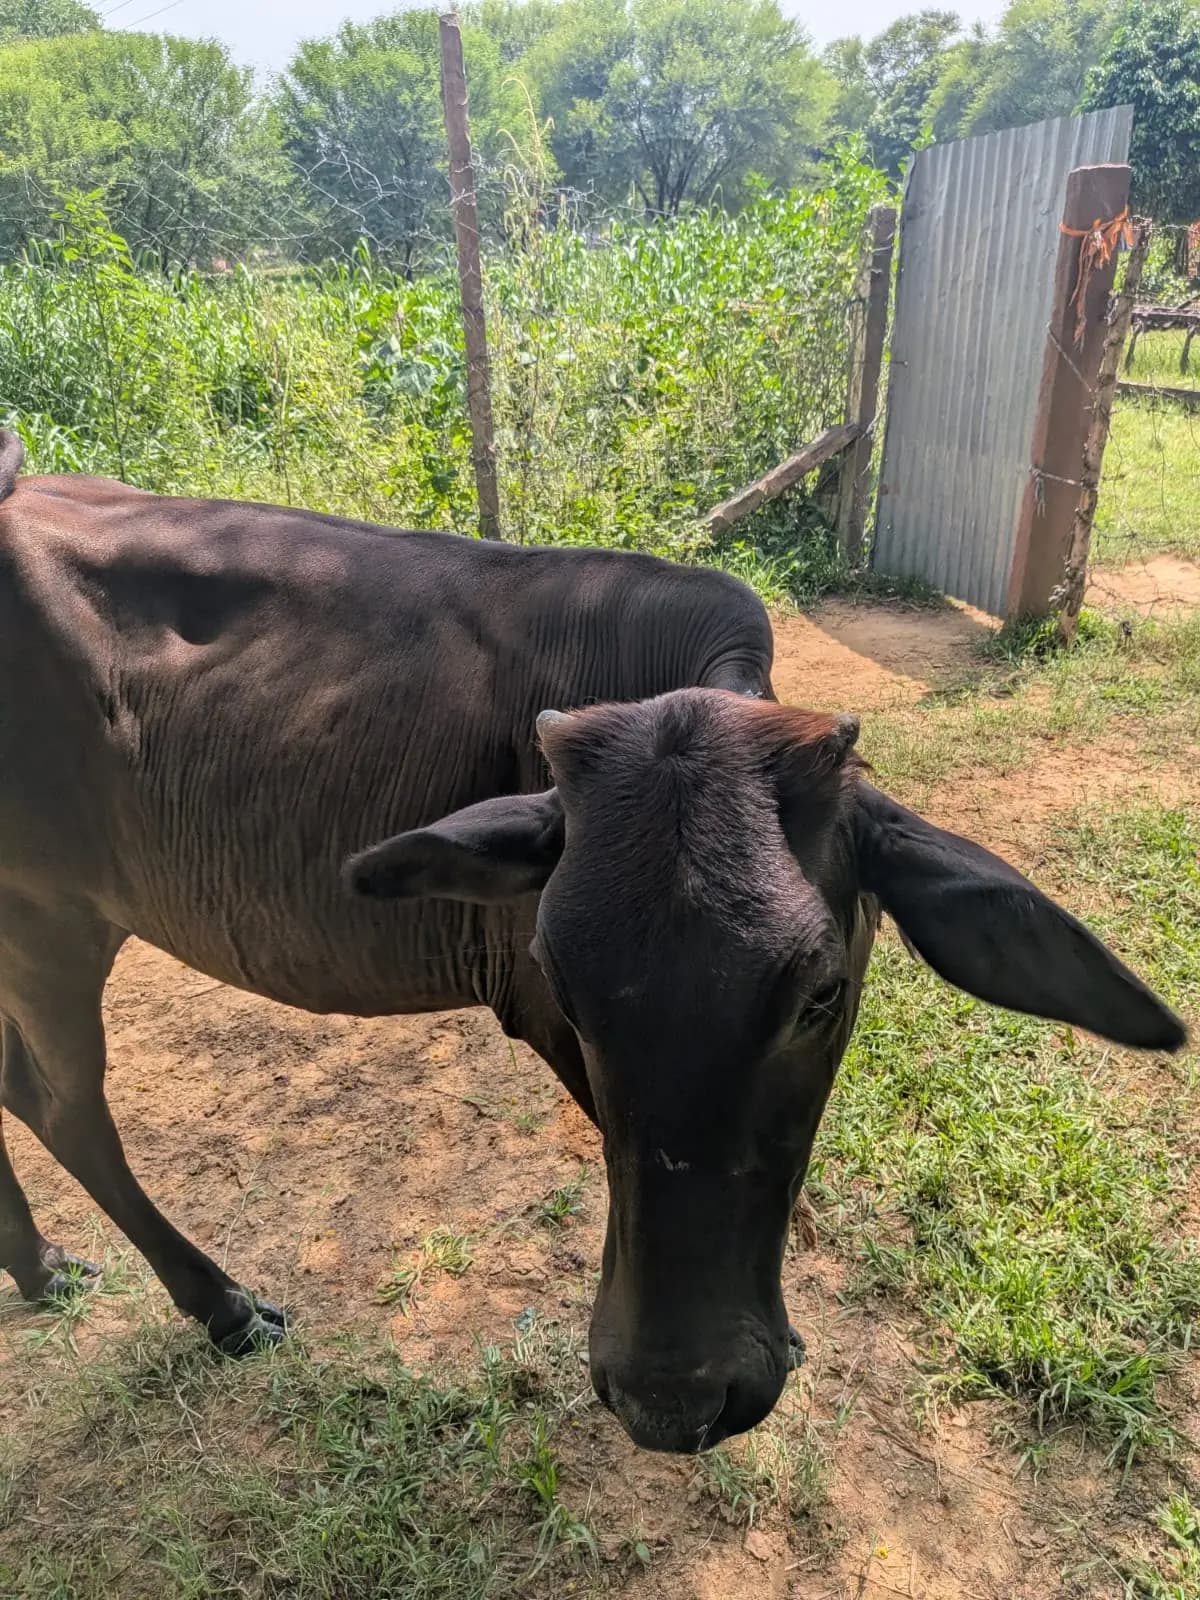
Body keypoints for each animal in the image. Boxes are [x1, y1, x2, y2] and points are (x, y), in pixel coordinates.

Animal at [0, 430, 1184, 1455]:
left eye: (820, 994)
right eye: (566, 989)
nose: (671, 1400)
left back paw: (40, 1264)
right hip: (49, 918)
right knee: (64, 1105)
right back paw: (222, 1307)